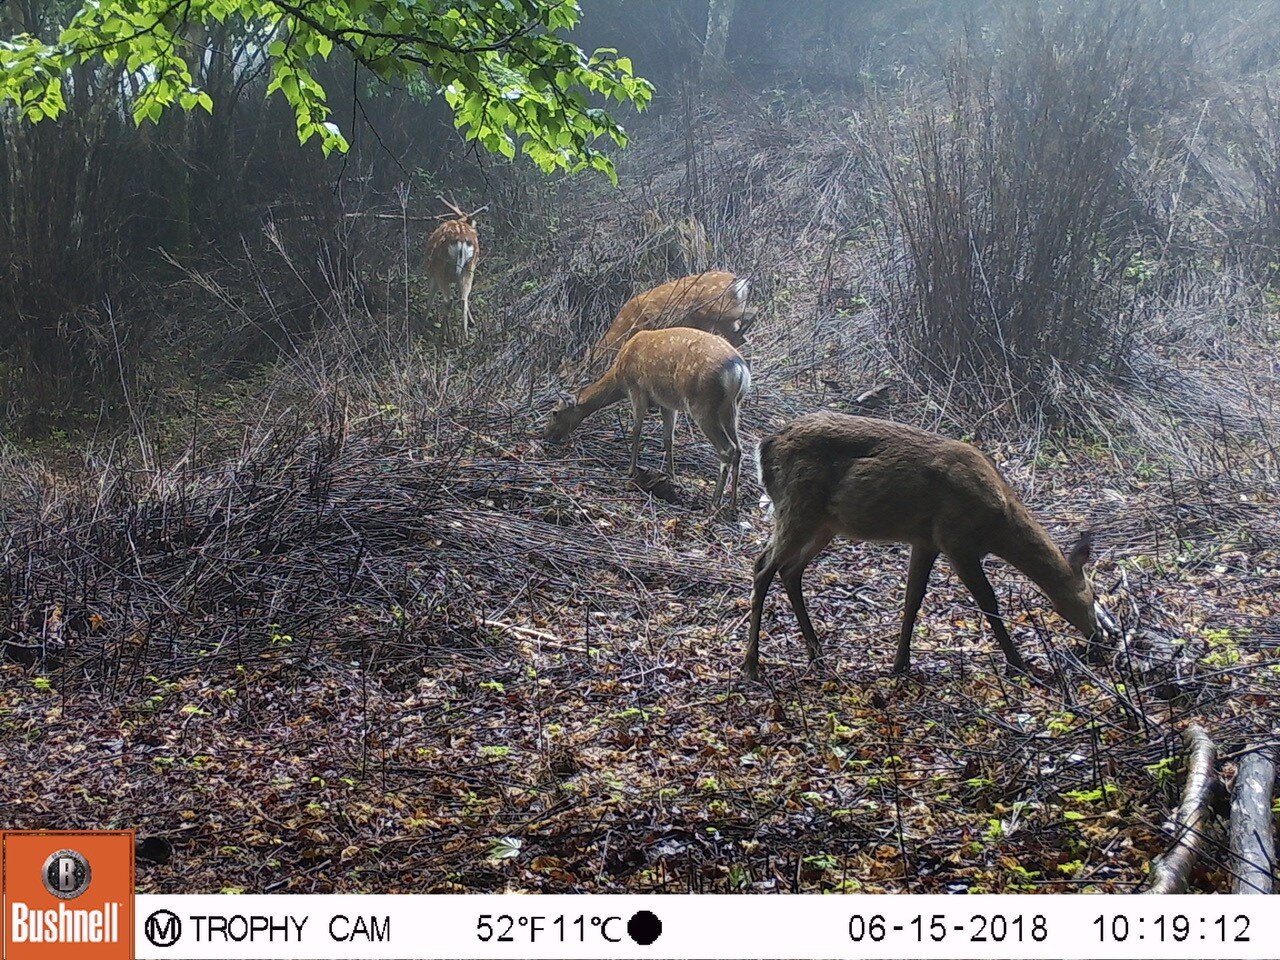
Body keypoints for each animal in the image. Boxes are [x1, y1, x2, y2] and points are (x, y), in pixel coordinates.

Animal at [424, 198, 483, 343]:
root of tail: (461, 240)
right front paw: (472, 322)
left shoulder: (431, 273)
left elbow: (430, 297)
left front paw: (424, 319)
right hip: (469, 267)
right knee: (463, 298)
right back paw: (464, 336)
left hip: (441, 267)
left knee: (448, 300)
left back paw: (444, 335)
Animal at [542, 330, 747, 514]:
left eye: (554, 412)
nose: (546, 435)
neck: (618, 377)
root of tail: (739, 370)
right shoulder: (667, 403)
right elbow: (668, 439)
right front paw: (672, 477)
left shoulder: (637, 389)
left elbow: (636, 430)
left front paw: (630, 471)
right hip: (731, 408)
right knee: (738, 449)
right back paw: (733, 506)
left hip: (702, 404)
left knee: (727, 449)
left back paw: (714, 504)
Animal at [747, 414, 1116, 686]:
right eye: (1092, 595)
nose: (1102, 638)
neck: (998, 523)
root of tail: (764, 447)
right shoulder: (956, 540)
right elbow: (987, 601)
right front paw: (1018, 664)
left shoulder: (925, 541)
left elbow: (913, 599)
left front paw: (900, 663)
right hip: (797, 508)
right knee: (762, 566)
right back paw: (751, 664)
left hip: (824, 525)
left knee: (789, 570)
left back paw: (817, 654)